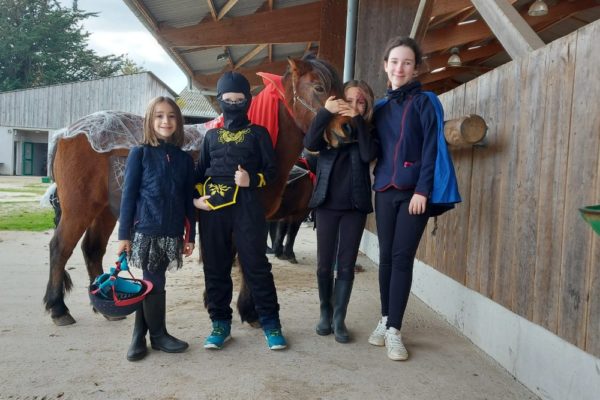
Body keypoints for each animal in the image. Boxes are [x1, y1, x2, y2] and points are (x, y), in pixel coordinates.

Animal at [44, 54, 344, 326]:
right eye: (318, 87)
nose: (345, 130)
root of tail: (68, 132)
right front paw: (246, 312)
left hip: (106, 211)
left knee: (92, 249)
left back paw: (105, 306)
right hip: (79, 210)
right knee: (60, 248)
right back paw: (58, 309)